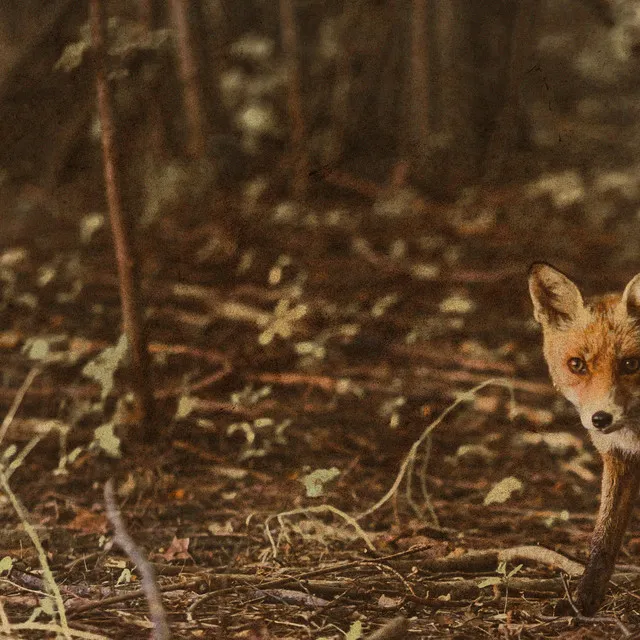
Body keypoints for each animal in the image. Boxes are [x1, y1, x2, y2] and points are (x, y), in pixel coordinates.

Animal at [528, 264, 640, 616]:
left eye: (631, 363)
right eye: (577, 365)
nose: (601, 419)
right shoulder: (620, 458)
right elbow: (603, 541)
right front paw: (584, 601)